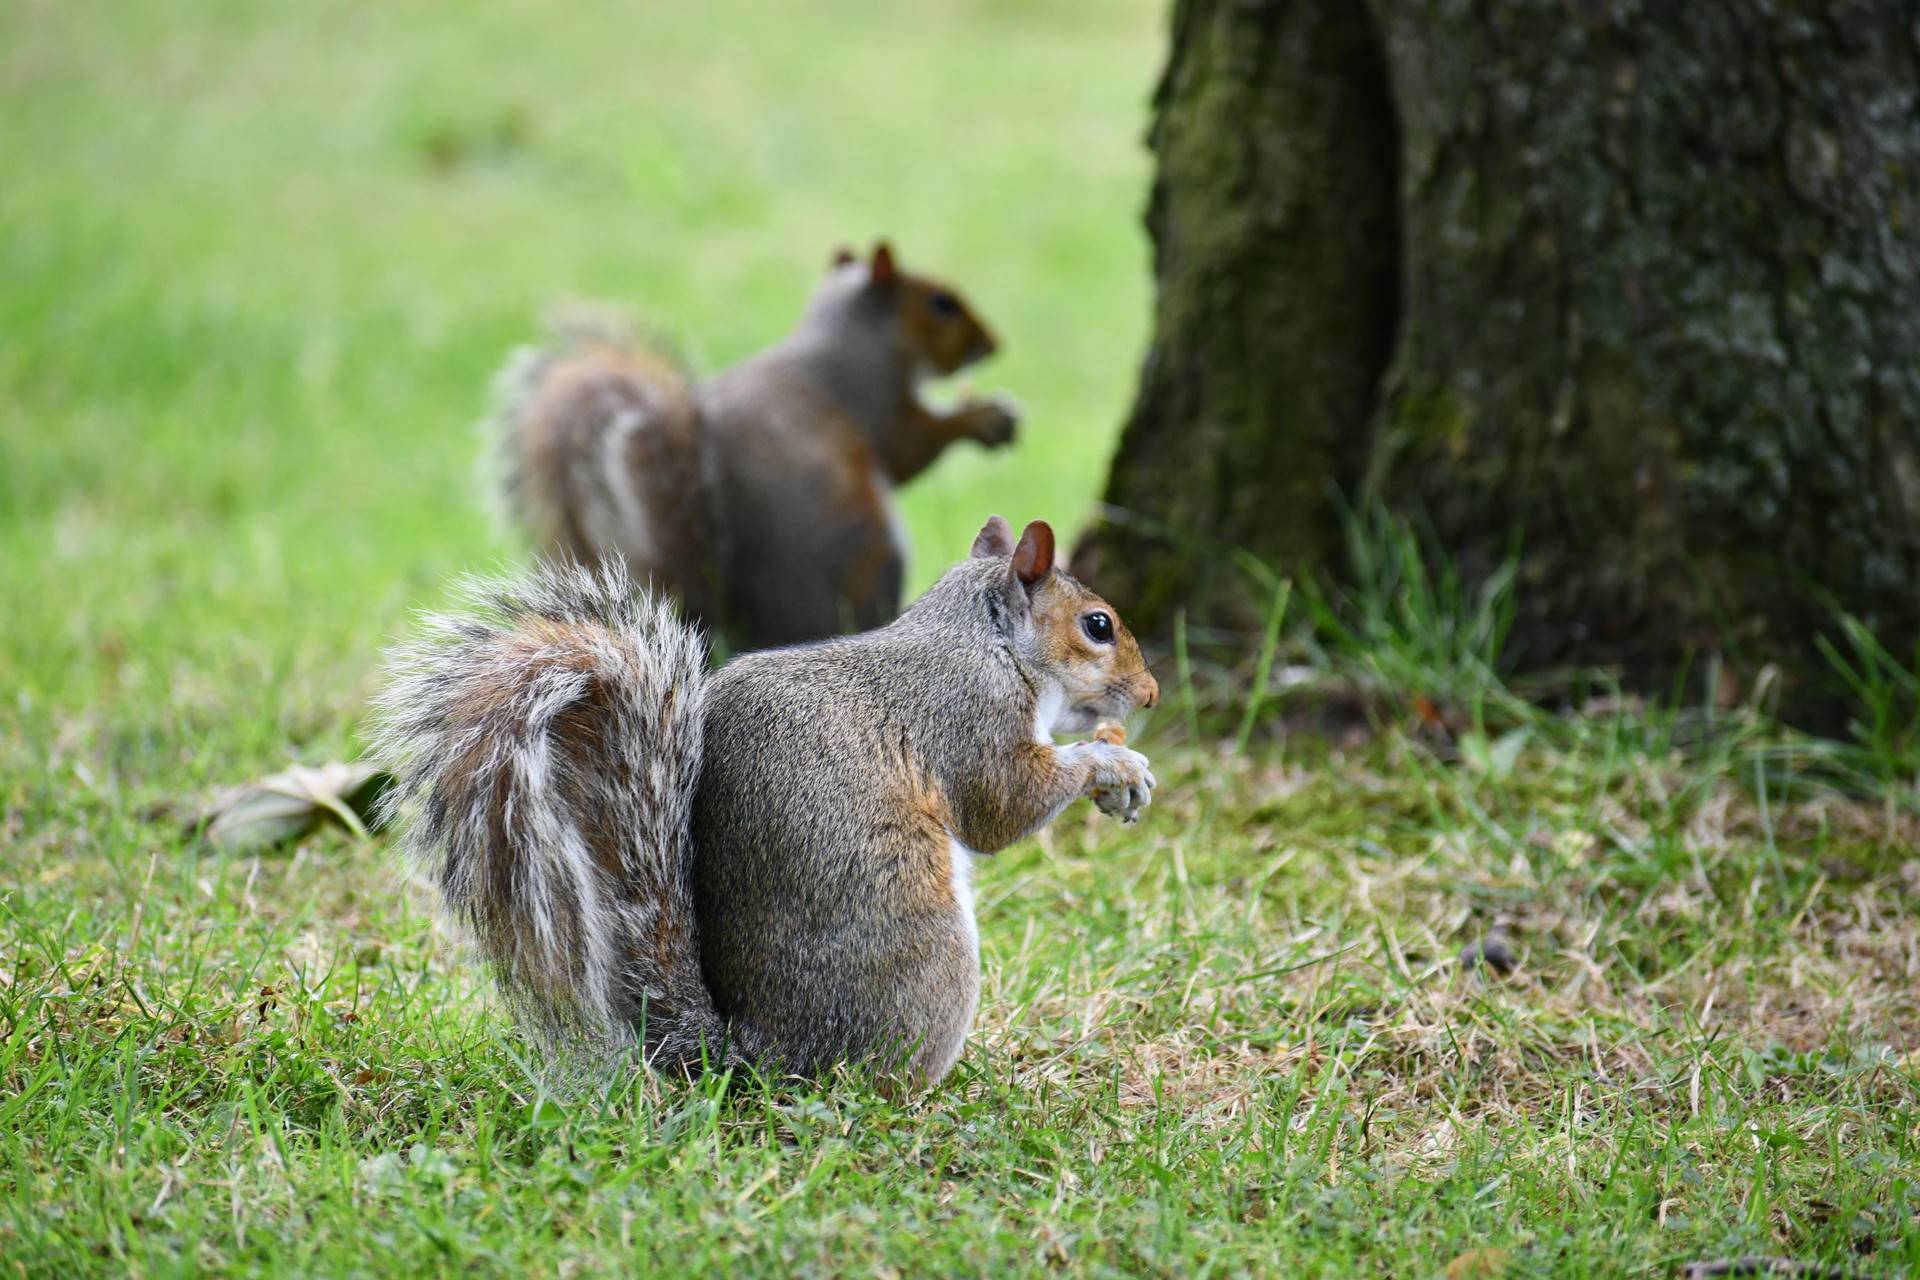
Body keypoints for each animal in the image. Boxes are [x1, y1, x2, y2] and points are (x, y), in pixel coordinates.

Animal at [371, 515, 1160, 1086]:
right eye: (1098, 625)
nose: (1151, 694)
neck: (983, 640)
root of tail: (759, 1053)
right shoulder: (969, 717)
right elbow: (1004, 807)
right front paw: (1111, 763)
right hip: (928, 957)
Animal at [492, 241, 1020, 655]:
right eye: (941, 303)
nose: (994, 343)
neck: (849, 335)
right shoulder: (873, 400)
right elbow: (911, 448)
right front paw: (983, 419)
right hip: (876, 554)